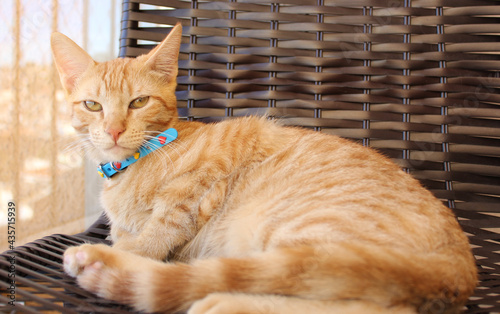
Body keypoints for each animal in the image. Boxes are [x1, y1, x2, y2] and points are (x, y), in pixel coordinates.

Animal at [51, 24, 476, 314]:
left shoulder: (204, 180)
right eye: (92, 106)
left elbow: (154, 237)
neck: (133, 164)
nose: (114, 130)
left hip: (293, 229)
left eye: (139, 102)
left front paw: (120, 252)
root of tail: (461, 264)